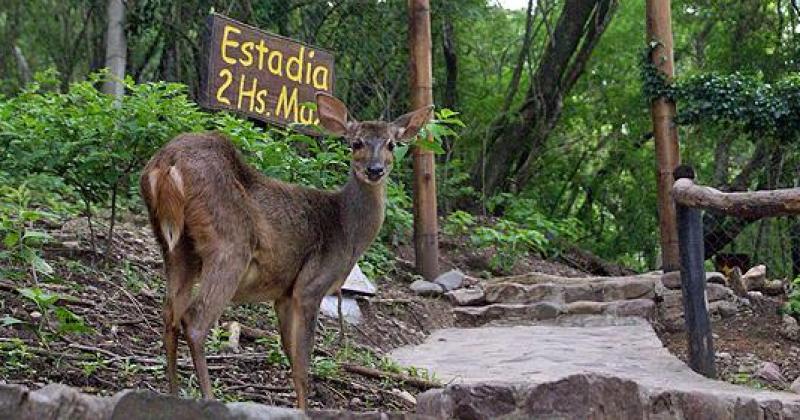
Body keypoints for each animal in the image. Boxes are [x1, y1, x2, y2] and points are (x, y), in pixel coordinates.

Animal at [141, 92, 434, 410]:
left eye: (391, 144)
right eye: (356, 143)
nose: (375, 170)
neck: (345, 228)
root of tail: (166, 164)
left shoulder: (283, 293)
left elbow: (291, 356)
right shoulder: (310, 286)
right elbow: (304, 364)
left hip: (176, 248)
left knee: (169, 315)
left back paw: (172, 396)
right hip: (230, 247)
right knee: (194, 320)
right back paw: (209, 399)